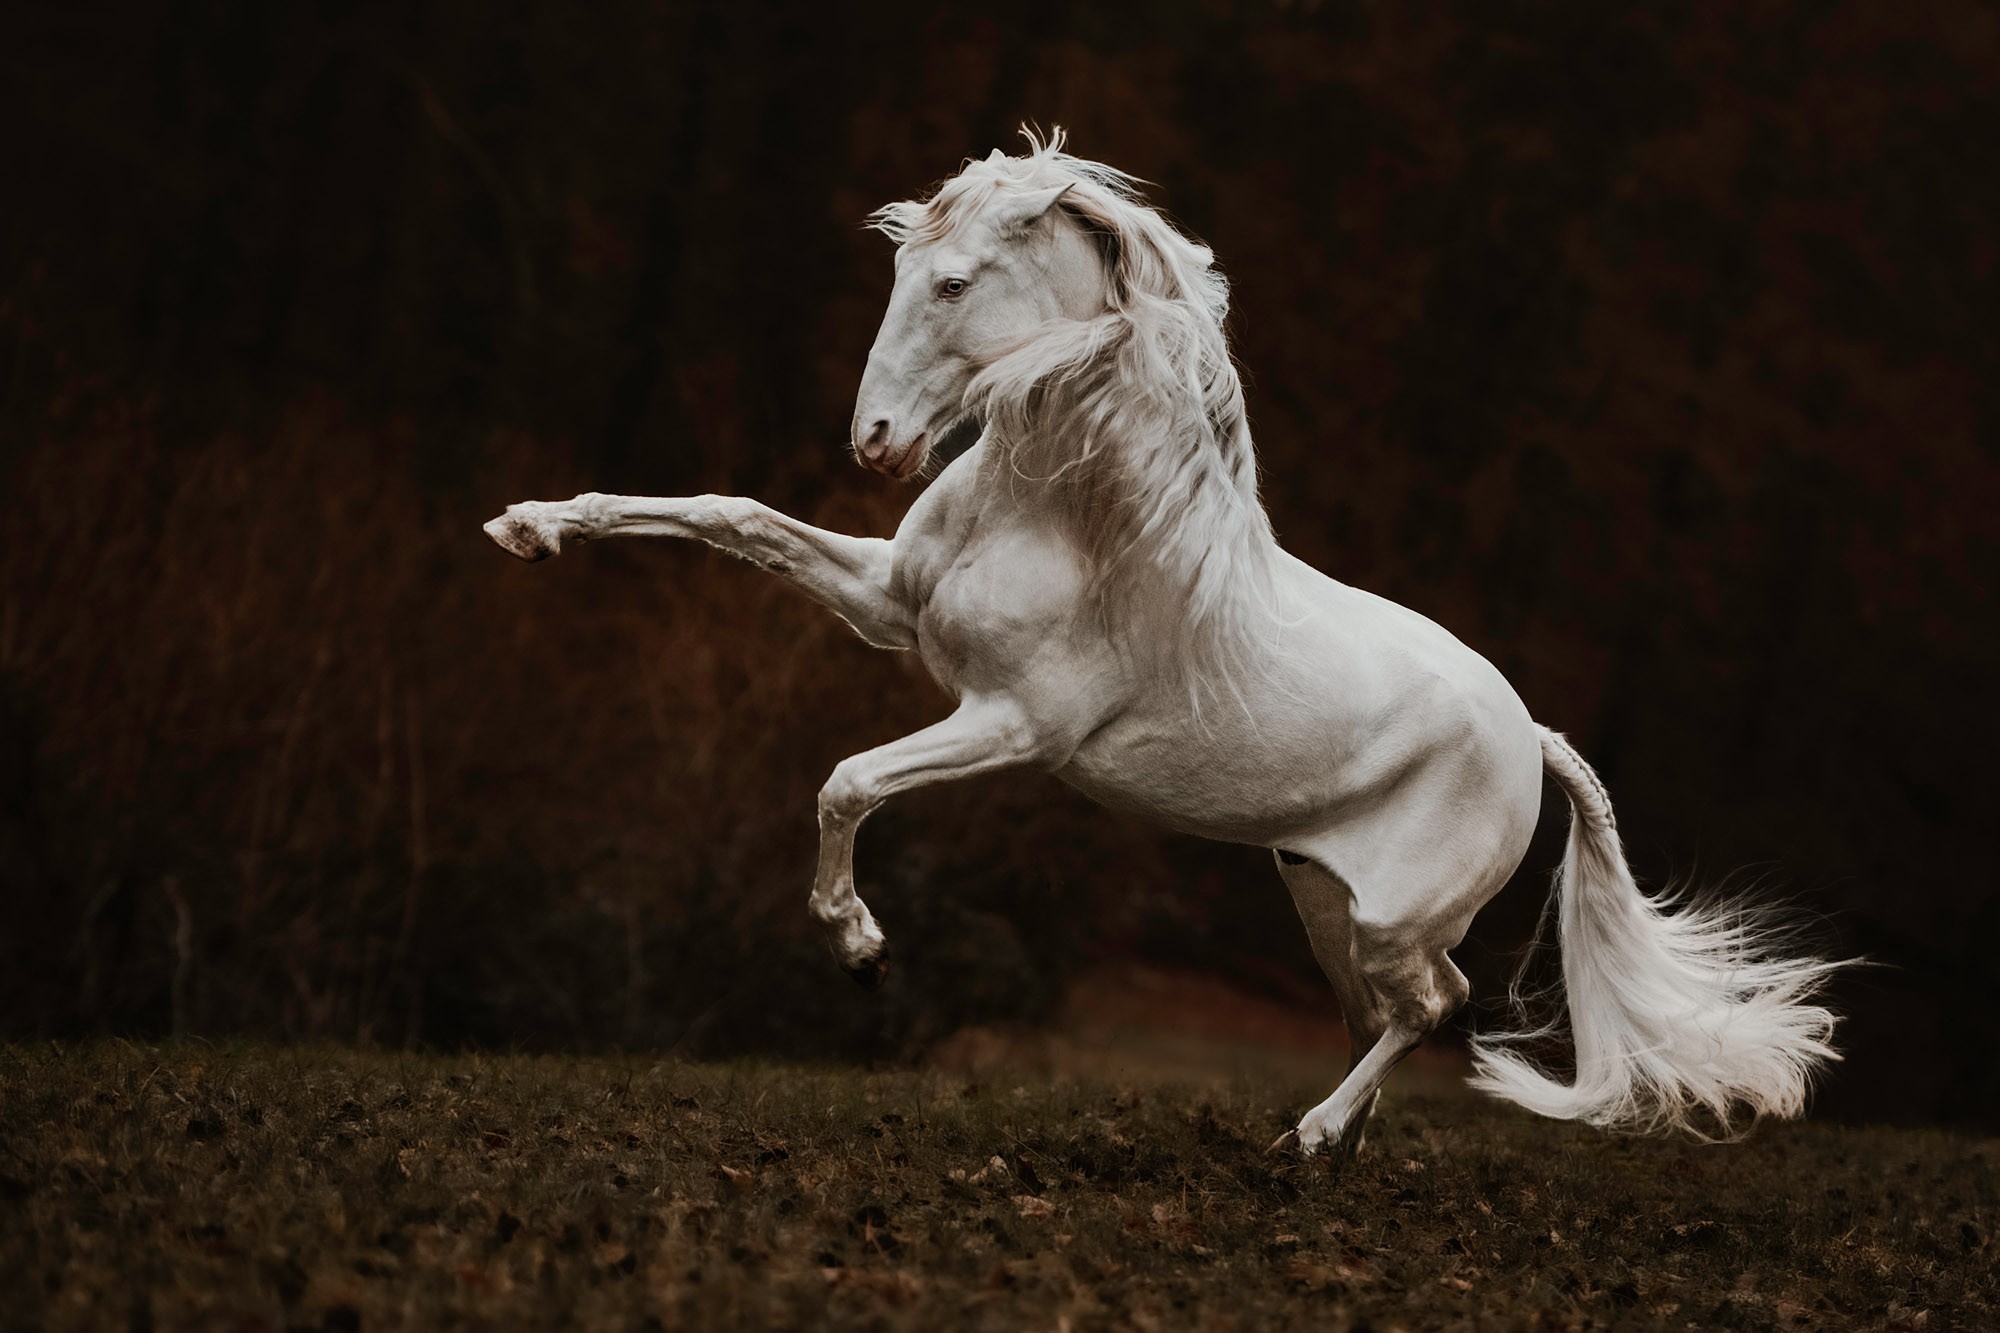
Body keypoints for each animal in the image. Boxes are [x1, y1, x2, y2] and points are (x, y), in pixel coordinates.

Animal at [484, 129, 1841, 1156]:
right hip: (1321, 900)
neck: (1065, 509)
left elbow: (846, 779)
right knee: (1388, 1013)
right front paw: (531, 527)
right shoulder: (888, 608)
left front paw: (861, 951)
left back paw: (1308, 1139)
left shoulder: (1012, 726)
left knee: (1438, 1005)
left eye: (953, 283)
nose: (874, 442)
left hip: (1396, 916)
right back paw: (1329, 1145)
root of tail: (1531, 734)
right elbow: (728, 517)